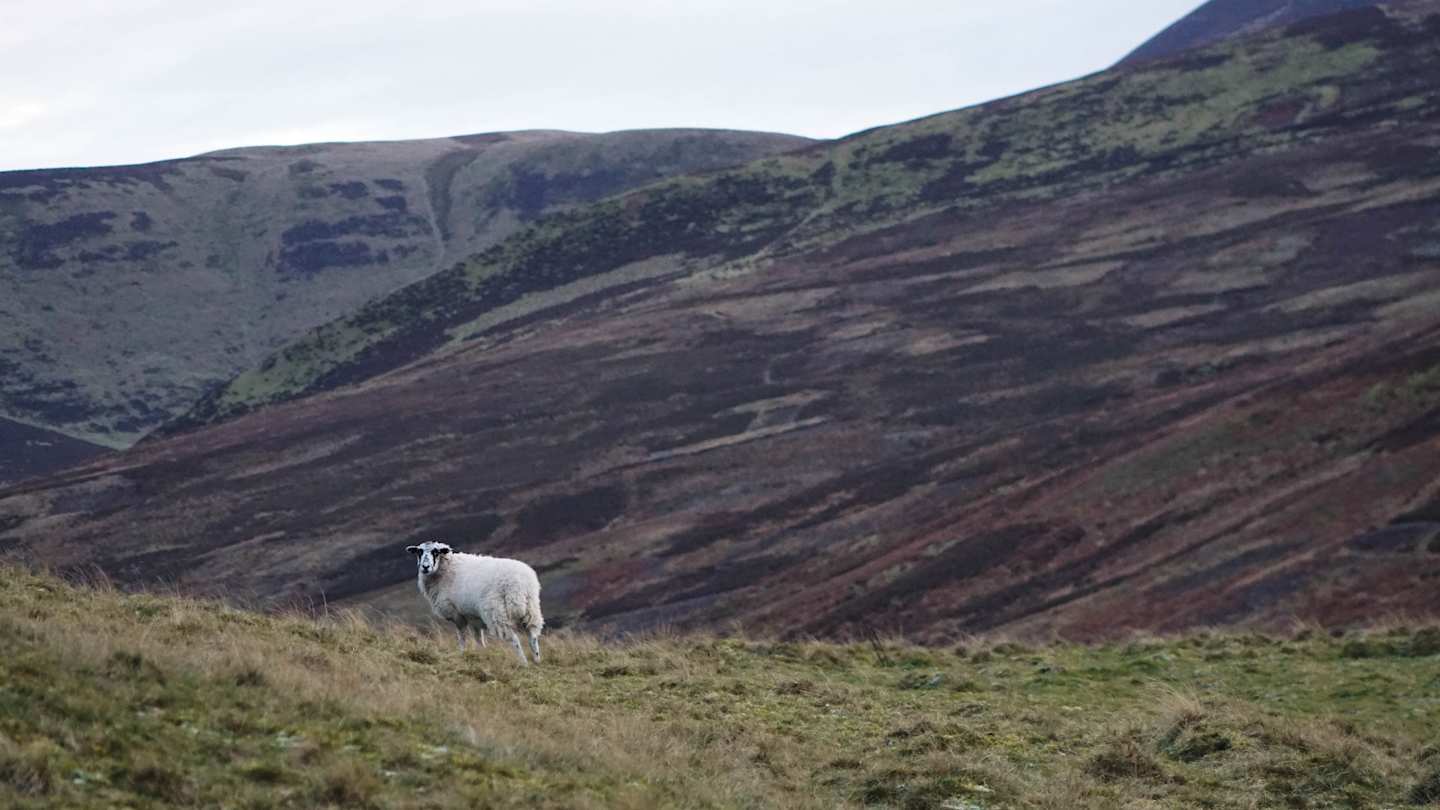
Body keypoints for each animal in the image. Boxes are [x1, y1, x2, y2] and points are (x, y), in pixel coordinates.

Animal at [406, 540, 544, 665]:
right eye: (419, 551)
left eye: (436, 552)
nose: (425, 567)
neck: (445, 569)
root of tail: (520, 584)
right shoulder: (473, 617)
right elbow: (478, 638)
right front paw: (482, 653)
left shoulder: (457, 614)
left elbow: (462, 637)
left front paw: (462, 653)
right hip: (531, 610)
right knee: (532, 636)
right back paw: (537, 661)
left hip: (496, 613)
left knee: (514, 640)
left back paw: (523, 662)